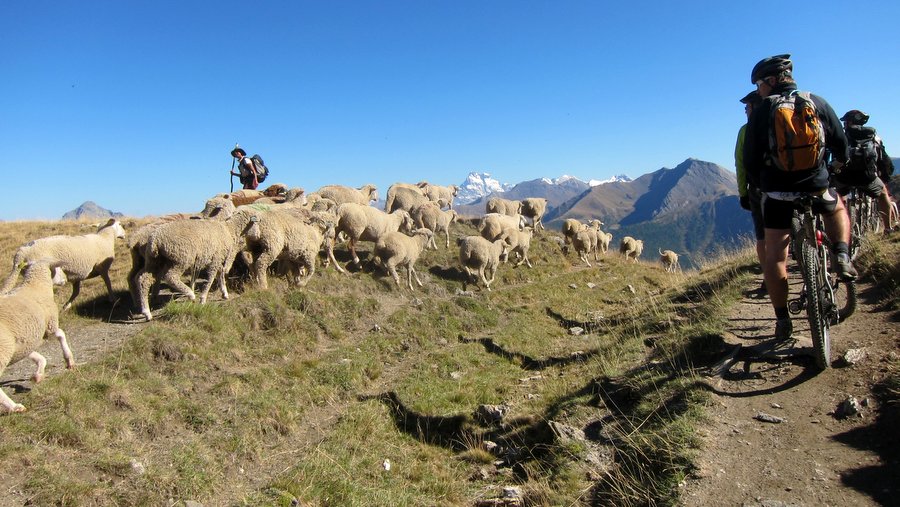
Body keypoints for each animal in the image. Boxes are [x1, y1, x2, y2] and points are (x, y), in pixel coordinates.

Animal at [0, 260, 76, 414]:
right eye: (58, 268)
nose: (65, 279)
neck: (36, 285)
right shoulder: (50, 325)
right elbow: (61, 334)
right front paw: (69, 360)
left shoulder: (22, 343)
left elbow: (39, 357)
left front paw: (37, 375)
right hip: (3, 350)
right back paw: (14, 407)